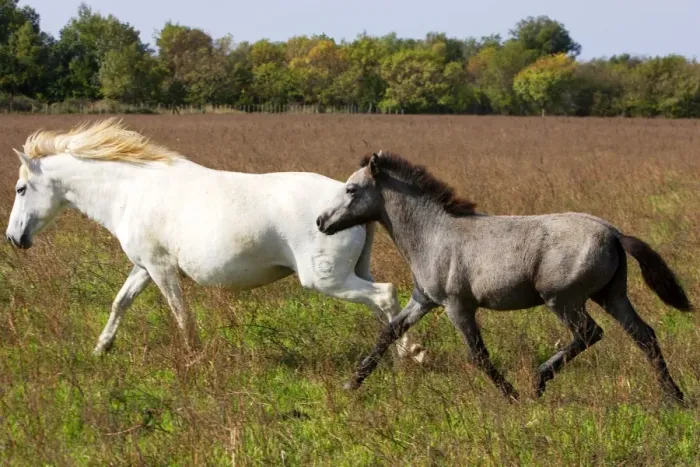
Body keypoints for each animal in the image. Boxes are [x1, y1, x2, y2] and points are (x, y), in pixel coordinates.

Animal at [4, 120, 425, 362]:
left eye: (21, 189)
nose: (13, 238)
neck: (132, 191)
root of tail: (351, 200)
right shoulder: (144, 266)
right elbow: (120, 303)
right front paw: (101, 348)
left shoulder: (161, 269)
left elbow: (180, 313)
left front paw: (194, 358)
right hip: (350, 274)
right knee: (383, 306)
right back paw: (403, 355)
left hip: (327, 280)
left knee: (385, 295)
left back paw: (412, 357)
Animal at [316, 151, 692, 402]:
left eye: (351, 189)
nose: (321, 221)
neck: (434, 234)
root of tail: (613, 232)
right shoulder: (423, 301)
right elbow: (389, 332)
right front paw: (352, 383)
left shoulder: (457, 306)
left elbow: (478, 355)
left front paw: (511, 395)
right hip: (612, 296)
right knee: (644, 335)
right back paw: (673, 397)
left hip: (564, 300)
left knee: (589, 333)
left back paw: (539, 381)